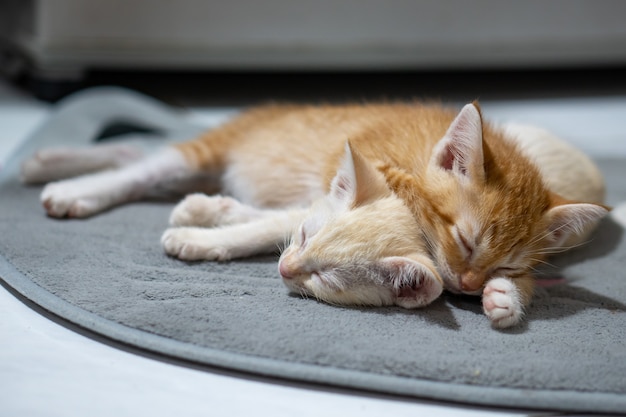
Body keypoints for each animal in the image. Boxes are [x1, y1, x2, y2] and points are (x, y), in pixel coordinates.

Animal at [23, 102, 604, 326]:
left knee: (135, 152)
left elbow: (278, 220)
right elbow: (276, 225)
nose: (466, 284)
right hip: (206, 152)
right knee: (144, 162)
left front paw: (507, 297)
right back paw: (71, 186)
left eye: (505, 265)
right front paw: (203, 236)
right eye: (464, 241)